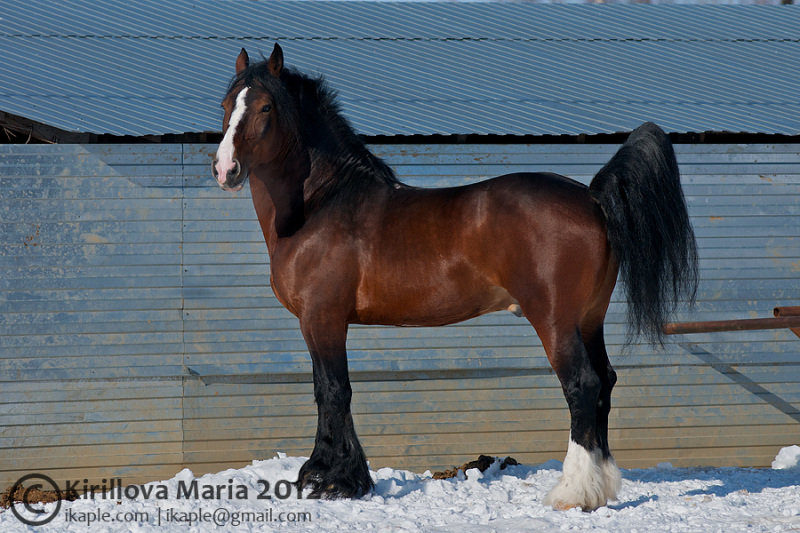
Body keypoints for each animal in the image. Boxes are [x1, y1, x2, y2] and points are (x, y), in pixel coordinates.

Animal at [209, 43, 696, 510]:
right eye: (227, 103)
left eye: (266, 106)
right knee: (605, 383)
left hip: (555, 320)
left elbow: (333, 390)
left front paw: (333, 481)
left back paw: (572, 494)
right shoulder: (318, 322)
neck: (323, 204)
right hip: (589, 319)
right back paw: (601, 486)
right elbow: (324, 389)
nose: (225, 169)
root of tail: (592, 198)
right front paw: (330, 474)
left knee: (583, 385)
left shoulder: (322, 318)